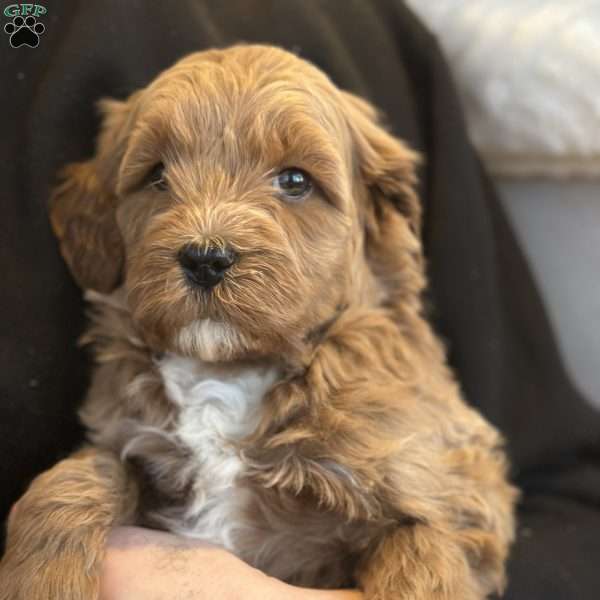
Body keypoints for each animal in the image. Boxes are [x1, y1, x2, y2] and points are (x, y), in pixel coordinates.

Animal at [0, 45, 516, 600]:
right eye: (157, 175)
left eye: (295, 181)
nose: (205, 259)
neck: (230, 372)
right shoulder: (132, 443)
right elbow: (84, 470)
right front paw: (41, 577)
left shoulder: (453, 493)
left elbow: (420, 553)